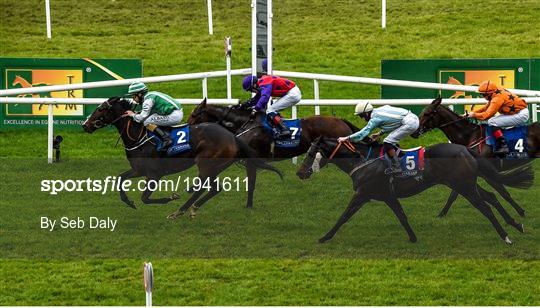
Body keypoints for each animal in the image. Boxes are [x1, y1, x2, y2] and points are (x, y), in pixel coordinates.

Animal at [82, 97, 282, 218]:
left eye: (101, 109)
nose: (85, 125)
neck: (137, 136)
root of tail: (232, 136)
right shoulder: (139, 170)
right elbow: (120, 179)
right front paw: (129, 202)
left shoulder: (154, 174)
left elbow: (145, 197)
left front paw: (170, 197)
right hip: (214, 167)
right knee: (212, 188)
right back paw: (187, 209)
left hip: (206, 164)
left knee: (208, 187)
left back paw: (181, 210)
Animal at [188, 101, 360, 207]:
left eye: (194, 115)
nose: (187, 129)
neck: (246, 124)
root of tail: (342, 121)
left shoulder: (247, 157)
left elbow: (248, 182)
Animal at [298, 138, 532, 244]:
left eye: (309, 153)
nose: (300, 173)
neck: (363, 161)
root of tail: (466, 149)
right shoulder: (387, 196)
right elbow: (402, 216)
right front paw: (412, 238)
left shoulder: (362, 194)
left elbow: (343, 216)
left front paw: (325, 237)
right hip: (464, 184)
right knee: (491, 197)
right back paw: (515, 224)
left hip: (464, 187)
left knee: (485, 208)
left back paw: (506, 236)